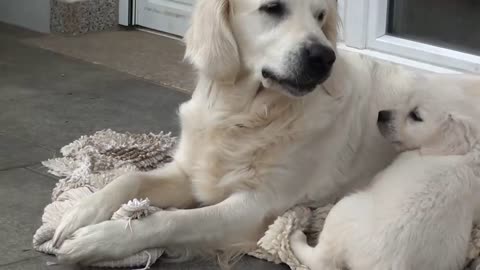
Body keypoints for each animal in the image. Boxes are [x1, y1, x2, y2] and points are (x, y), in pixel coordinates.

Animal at [290, 86, 480, 270]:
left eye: (416, 116)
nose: (381, 114)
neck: (470, 148)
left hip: (342, 212)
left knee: (321, 259)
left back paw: (296, 237)